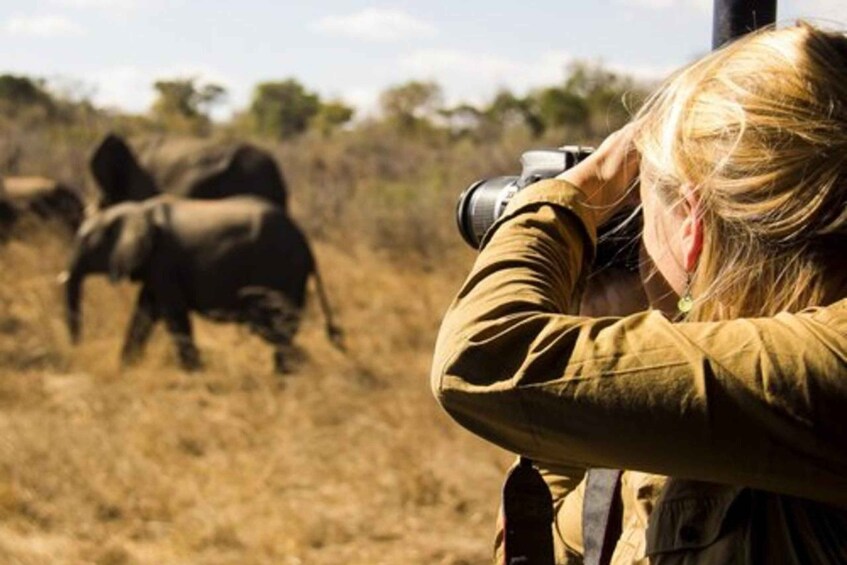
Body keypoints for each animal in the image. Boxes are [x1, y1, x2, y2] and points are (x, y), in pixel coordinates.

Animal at [61, 195, 342, 373]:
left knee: (274, 327)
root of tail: (305, 241)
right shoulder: (155, 267)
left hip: (280, 269)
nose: (77, 349)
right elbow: (145, 311)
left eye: (84, 242)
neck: (138, 210)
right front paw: (125, 369)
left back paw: (289, 373)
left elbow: (172, 314)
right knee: (279, 330)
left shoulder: (164, 261)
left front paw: (195, 373)